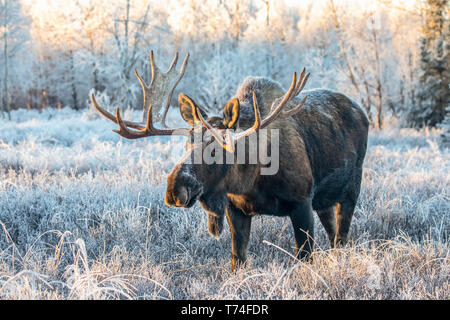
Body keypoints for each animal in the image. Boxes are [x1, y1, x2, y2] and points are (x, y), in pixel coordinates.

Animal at [90, 51, 370, 272]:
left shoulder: (301, 202)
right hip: (323, 201)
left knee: (341, 237)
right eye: (187, 142)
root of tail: (362, 110)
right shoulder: (236, 209)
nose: (174, 188)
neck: (251, 181)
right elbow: (238, 260)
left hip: (351, 190)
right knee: (332, 233)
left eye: (217, 148)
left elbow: (305, 257)